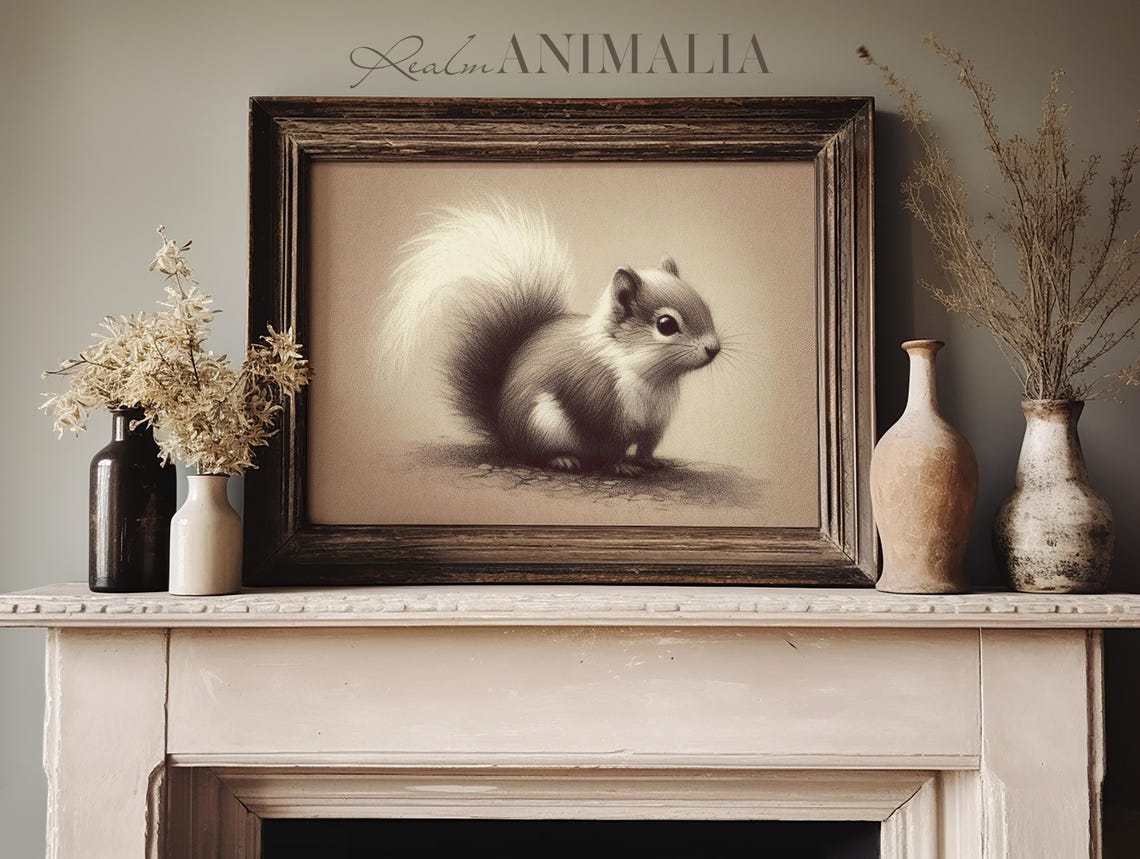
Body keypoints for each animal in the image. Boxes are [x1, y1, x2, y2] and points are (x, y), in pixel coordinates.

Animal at [377, 198, 721, 476]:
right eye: (666, 324)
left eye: (704, 303)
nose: (714, 348)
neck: (649, 374)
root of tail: (505, 430)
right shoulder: (601, 408)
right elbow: (612, 447)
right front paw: (622, 466)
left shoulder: (655, 423)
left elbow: (647, 445)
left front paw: (649, 461)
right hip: (541, 424)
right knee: (532, 454)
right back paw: (562, 459)